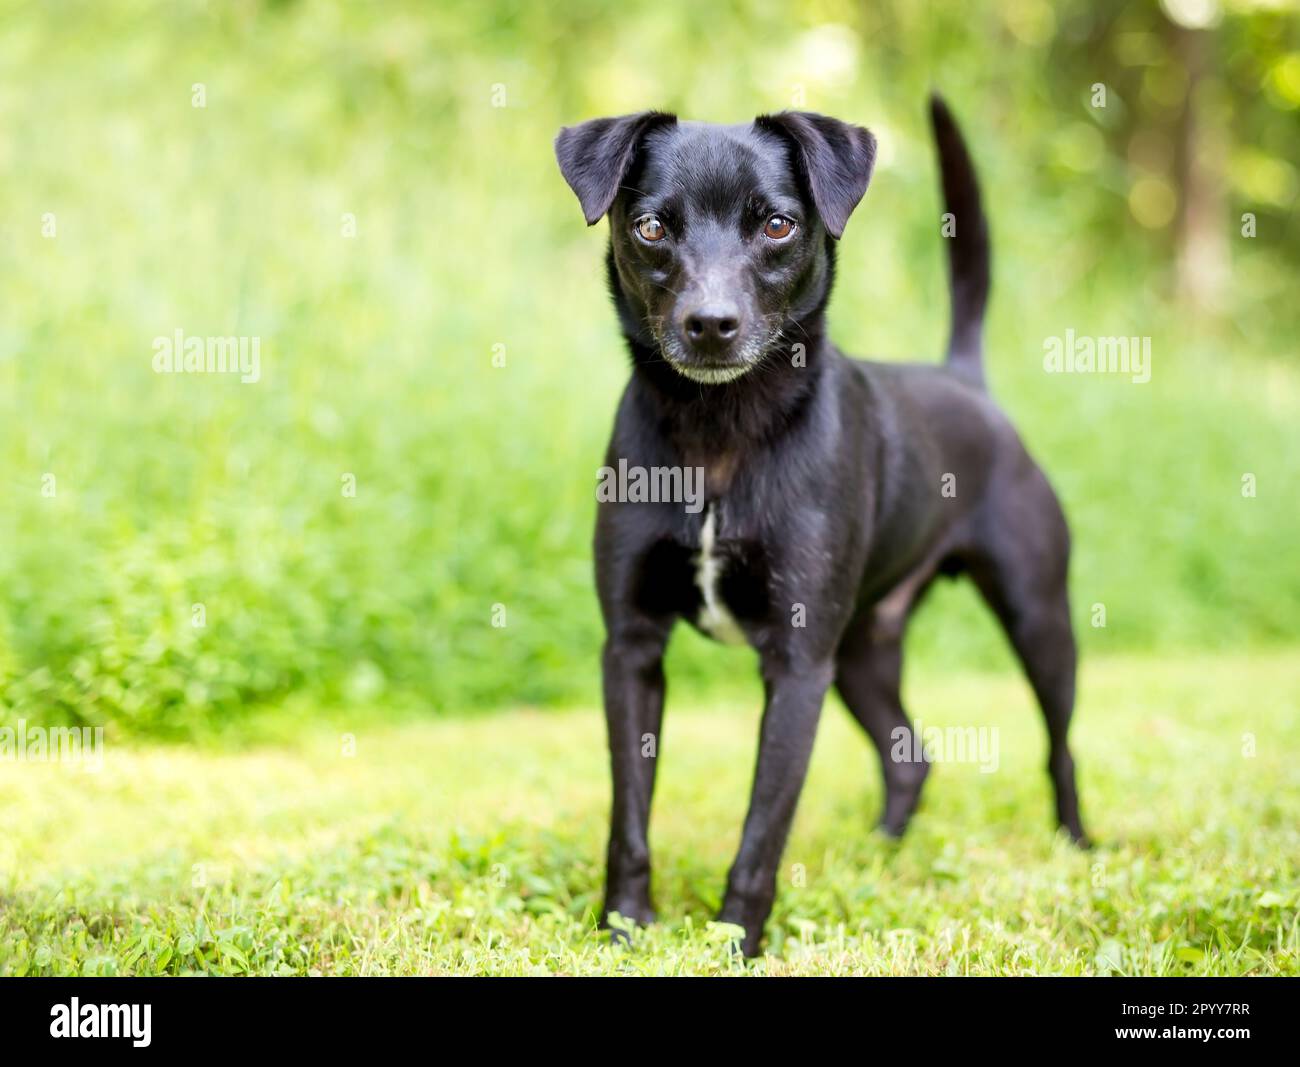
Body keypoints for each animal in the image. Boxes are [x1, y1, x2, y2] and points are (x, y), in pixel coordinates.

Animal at [556, 95, 1086, 951]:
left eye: (777, 225)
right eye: (651, 227)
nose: (711, 324)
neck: (721, 433)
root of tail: (964, 380)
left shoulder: (799, 665)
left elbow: (761, 832)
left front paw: (734, 941)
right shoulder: (633, 650)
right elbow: (628, 815)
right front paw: (627, 927)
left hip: (1038, 619)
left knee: (1059, 747)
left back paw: (1076, 844)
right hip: (863, 651)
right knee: (911, 758)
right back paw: (882, 854)